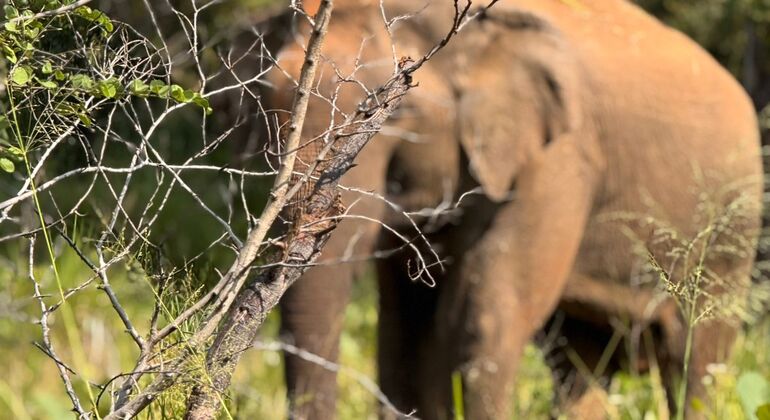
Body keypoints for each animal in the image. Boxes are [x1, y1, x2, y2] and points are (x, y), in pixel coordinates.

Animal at [262, 0, 763, 418]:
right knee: (578, 360)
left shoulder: (561, 158)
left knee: (697, 357)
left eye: (399, 115)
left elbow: (482, 319)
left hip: (729, 230)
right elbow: (405, 328)